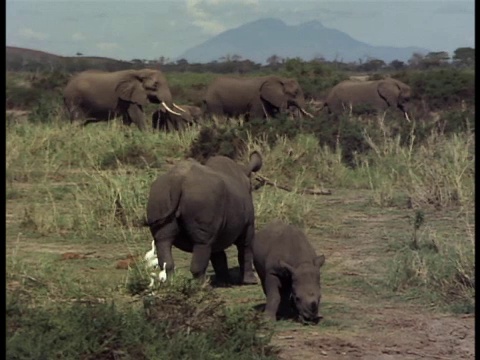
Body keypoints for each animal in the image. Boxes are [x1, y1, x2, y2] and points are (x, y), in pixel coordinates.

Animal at [147, 151, 262, 284]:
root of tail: (178, 180)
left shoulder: (218, 226)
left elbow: (218, 255)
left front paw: (224, 281)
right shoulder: (248, 223)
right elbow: (245, 248)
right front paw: (251, 281)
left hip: (159, 194)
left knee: (163, 239)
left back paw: (171, 283)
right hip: (202, 198)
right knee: (202, 243)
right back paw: (202, 285)